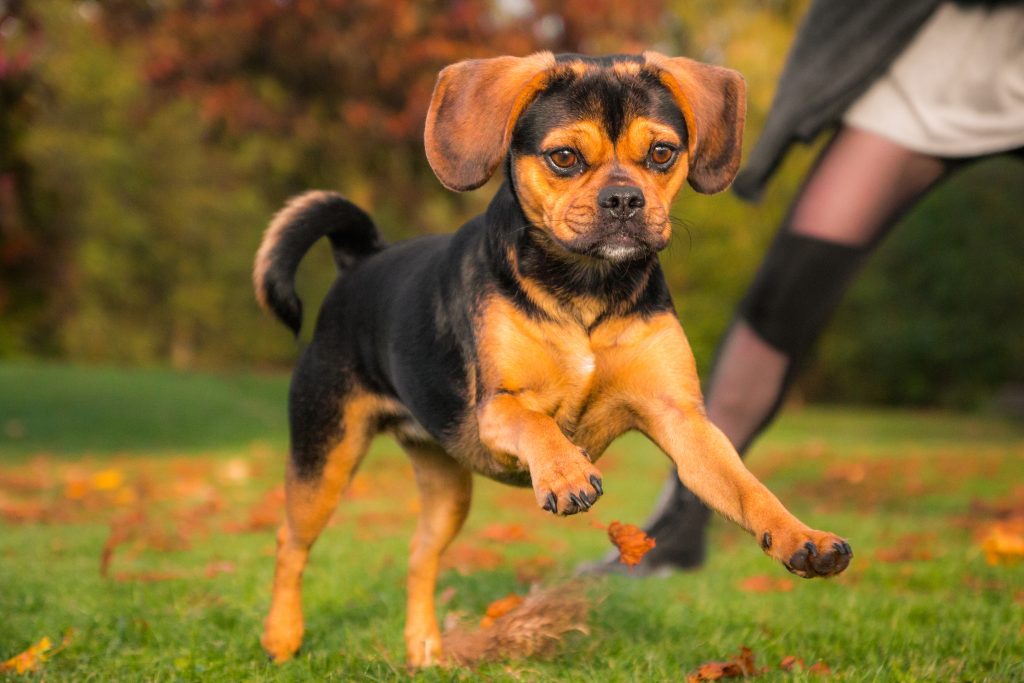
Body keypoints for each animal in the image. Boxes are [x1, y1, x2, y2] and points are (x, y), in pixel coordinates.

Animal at [251, 52, 851, 667]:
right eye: (564, 157)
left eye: (662, 153)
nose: (624, 200)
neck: (585, 288)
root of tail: (360, 261)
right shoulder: (497, 410)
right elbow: (538, 424)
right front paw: (565, 473)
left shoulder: (682, 420)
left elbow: (748, 488)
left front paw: (802, 538)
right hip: (326, 455)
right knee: (289, 543)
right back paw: (282, 636)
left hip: (446, 489)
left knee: (420, 558)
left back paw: (424, 648)